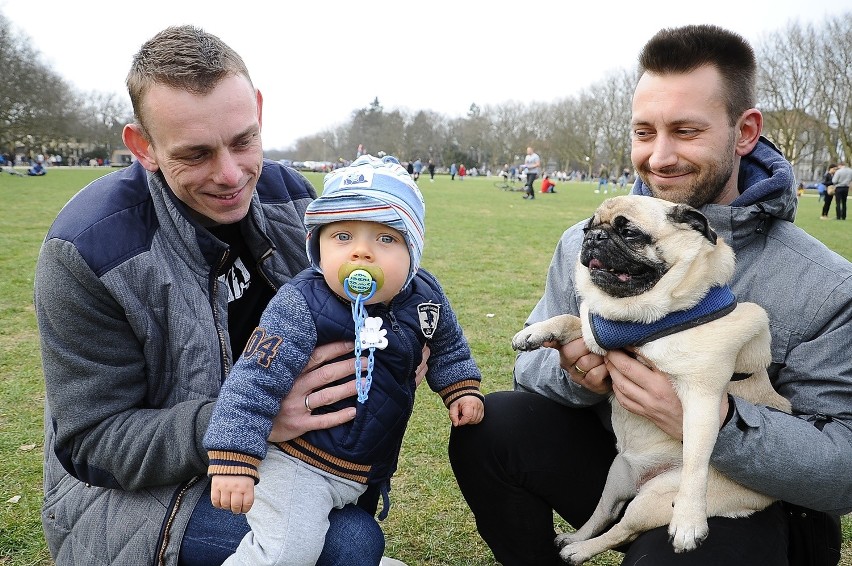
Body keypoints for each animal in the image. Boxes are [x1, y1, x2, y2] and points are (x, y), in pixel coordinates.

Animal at [512, 196, 792, 566]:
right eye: (587, 228)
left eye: (629, 232)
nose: (594, 237)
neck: (645, 319)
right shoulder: (596, 336)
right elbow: (572, 318)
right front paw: (535, 333)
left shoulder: (703, 400)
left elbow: (696, 463)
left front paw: (688, 521)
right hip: (618, 474)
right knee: (604, 514)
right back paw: (575, 538)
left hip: (655, 497)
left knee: (623, 529)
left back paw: (580, 550)